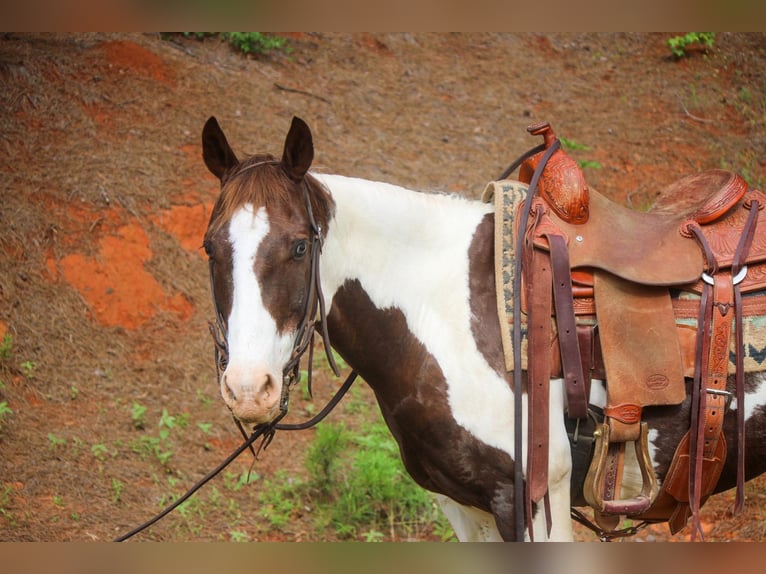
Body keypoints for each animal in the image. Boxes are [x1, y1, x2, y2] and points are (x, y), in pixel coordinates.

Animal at [201, 115, 766, 544]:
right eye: (210, 248)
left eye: (300, 246)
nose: (248, 389)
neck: (441, 309)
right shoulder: (464, 506)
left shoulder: (534, 503)